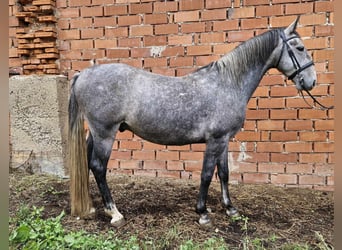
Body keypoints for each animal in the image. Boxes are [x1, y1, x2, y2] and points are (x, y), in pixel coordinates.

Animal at [68, 16, 316, 226]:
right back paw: (114, 213)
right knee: (98, 167)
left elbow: (224, 173)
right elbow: (206, 175)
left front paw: (230, 209)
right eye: (300, 48)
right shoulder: (215, 140)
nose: (311, 81)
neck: (228, 83)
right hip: (105, 133)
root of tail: (83, 74)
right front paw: (203, 213)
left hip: (96, 133)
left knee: (88, 163)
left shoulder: (224, 140)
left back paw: (92, 205)